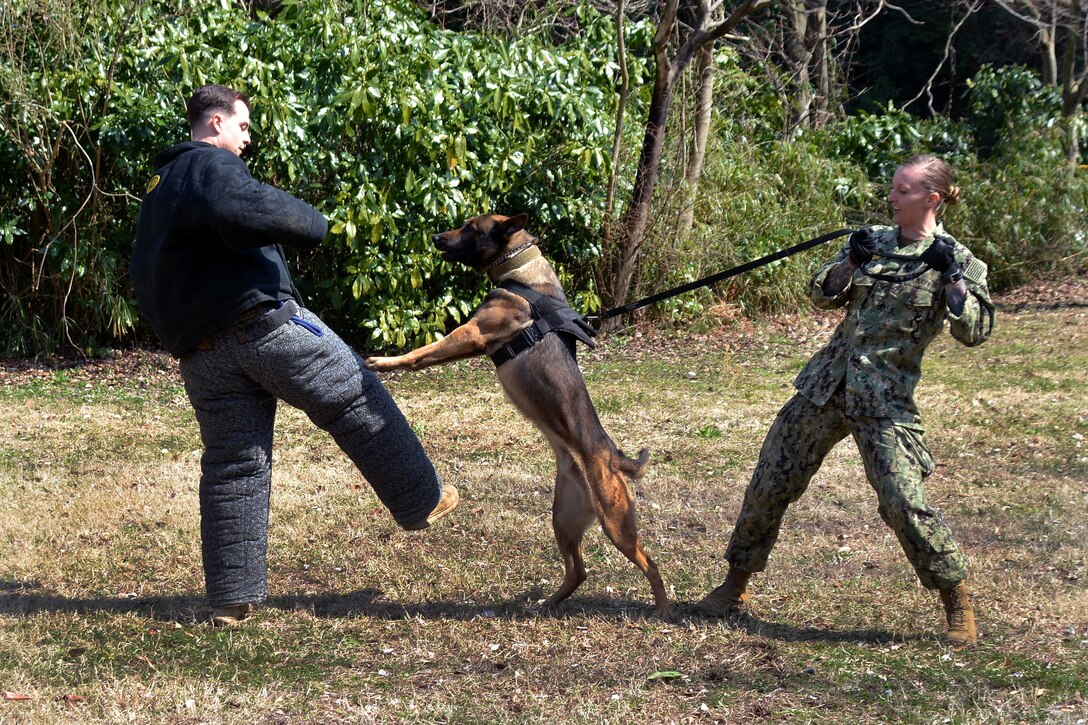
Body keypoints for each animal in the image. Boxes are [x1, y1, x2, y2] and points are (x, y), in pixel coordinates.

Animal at [367, 213, 670, 613]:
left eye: (471, 229)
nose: (435, 236)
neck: (521, 269)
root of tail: (613, 457)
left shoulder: (471, 333)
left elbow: (421, 352)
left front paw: (383, 362)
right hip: (563, 519)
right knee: (578, 571)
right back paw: (546, 605)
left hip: (615, 523)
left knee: (650, 565)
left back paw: (663, 610)